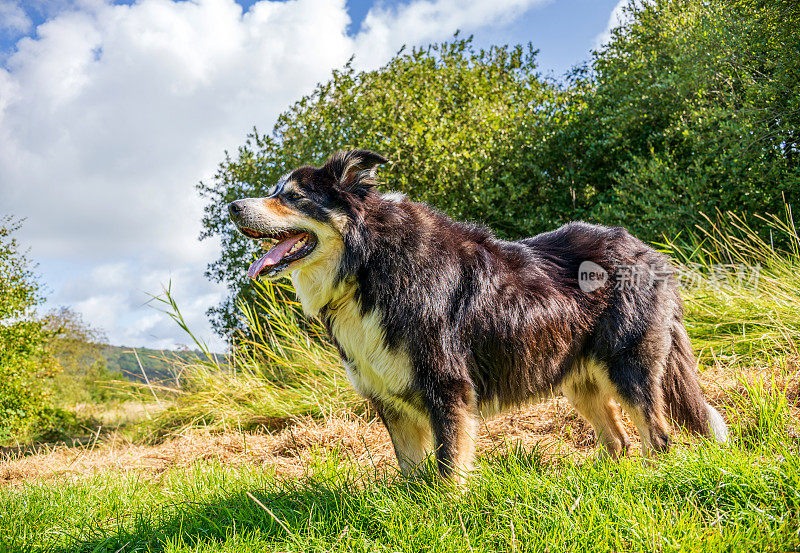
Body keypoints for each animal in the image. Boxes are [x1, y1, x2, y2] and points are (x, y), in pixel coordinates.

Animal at [228, 149, 728, 480]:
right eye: (275, 192)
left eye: (293, 197)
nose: (232, 207)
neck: (367, 265)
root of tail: (649, 253)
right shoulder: (389, 398)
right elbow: (411, 474)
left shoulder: (446, 388)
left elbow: (449, 467)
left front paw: (446, 513)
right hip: (579, 380)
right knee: (621, 441)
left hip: (630, 368)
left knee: (657, 437)